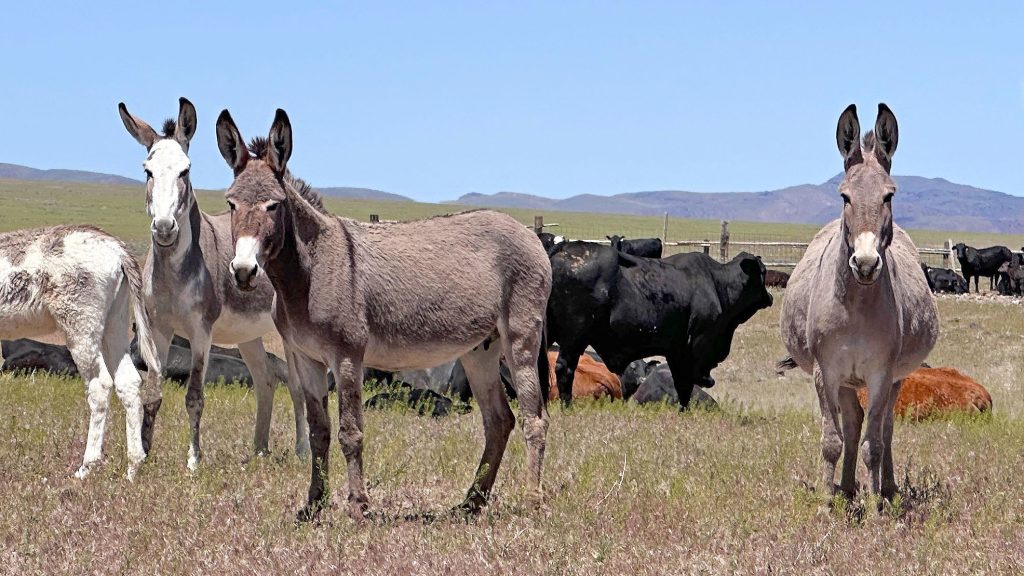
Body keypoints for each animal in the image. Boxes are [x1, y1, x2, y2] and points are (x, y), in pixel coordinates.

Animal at [548, 241, 770, 407]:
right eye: (763, 271)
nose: (769, 297)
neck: (717, 283)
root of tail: (562, 250)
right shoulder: (692, 349)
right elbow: (685, 384)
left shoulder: (676, 351)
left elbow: (682, 385)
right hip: (574, 337)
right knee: (565, 368)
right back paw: (566, 405)